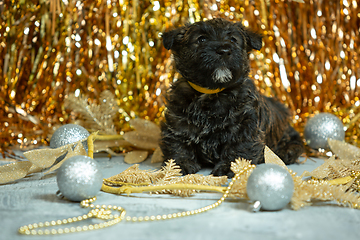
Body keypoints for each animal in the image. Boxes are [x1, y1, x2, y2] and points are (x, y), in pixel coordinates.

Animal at [160, 18, 304, 176]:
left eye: (233, 40)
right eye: (201, 39)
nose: (224, 51)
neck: (213, 93)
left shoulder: (245, 126)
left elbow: (239, 147)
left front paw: (233, 166)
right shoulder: (178, 121)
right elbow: (178, 142)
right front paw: (177, 165)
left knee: (295, 142)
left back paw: (287, 152)